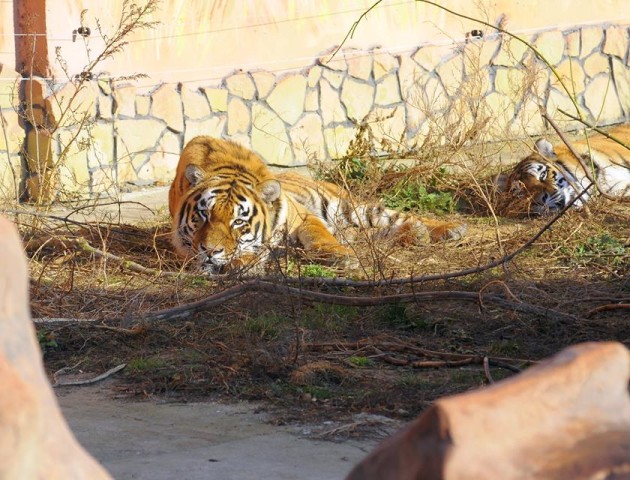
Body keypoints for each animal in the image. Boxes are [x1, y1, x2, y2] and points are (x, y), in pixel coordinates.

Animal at [170, 137, 466, 276]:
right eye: (204, 214)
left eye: (238, 221)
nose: (210, 251)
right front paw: (241, 261)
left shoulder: (303, 218)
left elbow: (319, 238)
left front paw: (341, 256)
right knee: (373, 233)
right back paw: (416, 234)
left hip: (350, 207)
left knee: (394, 216)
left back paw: (447, 229)